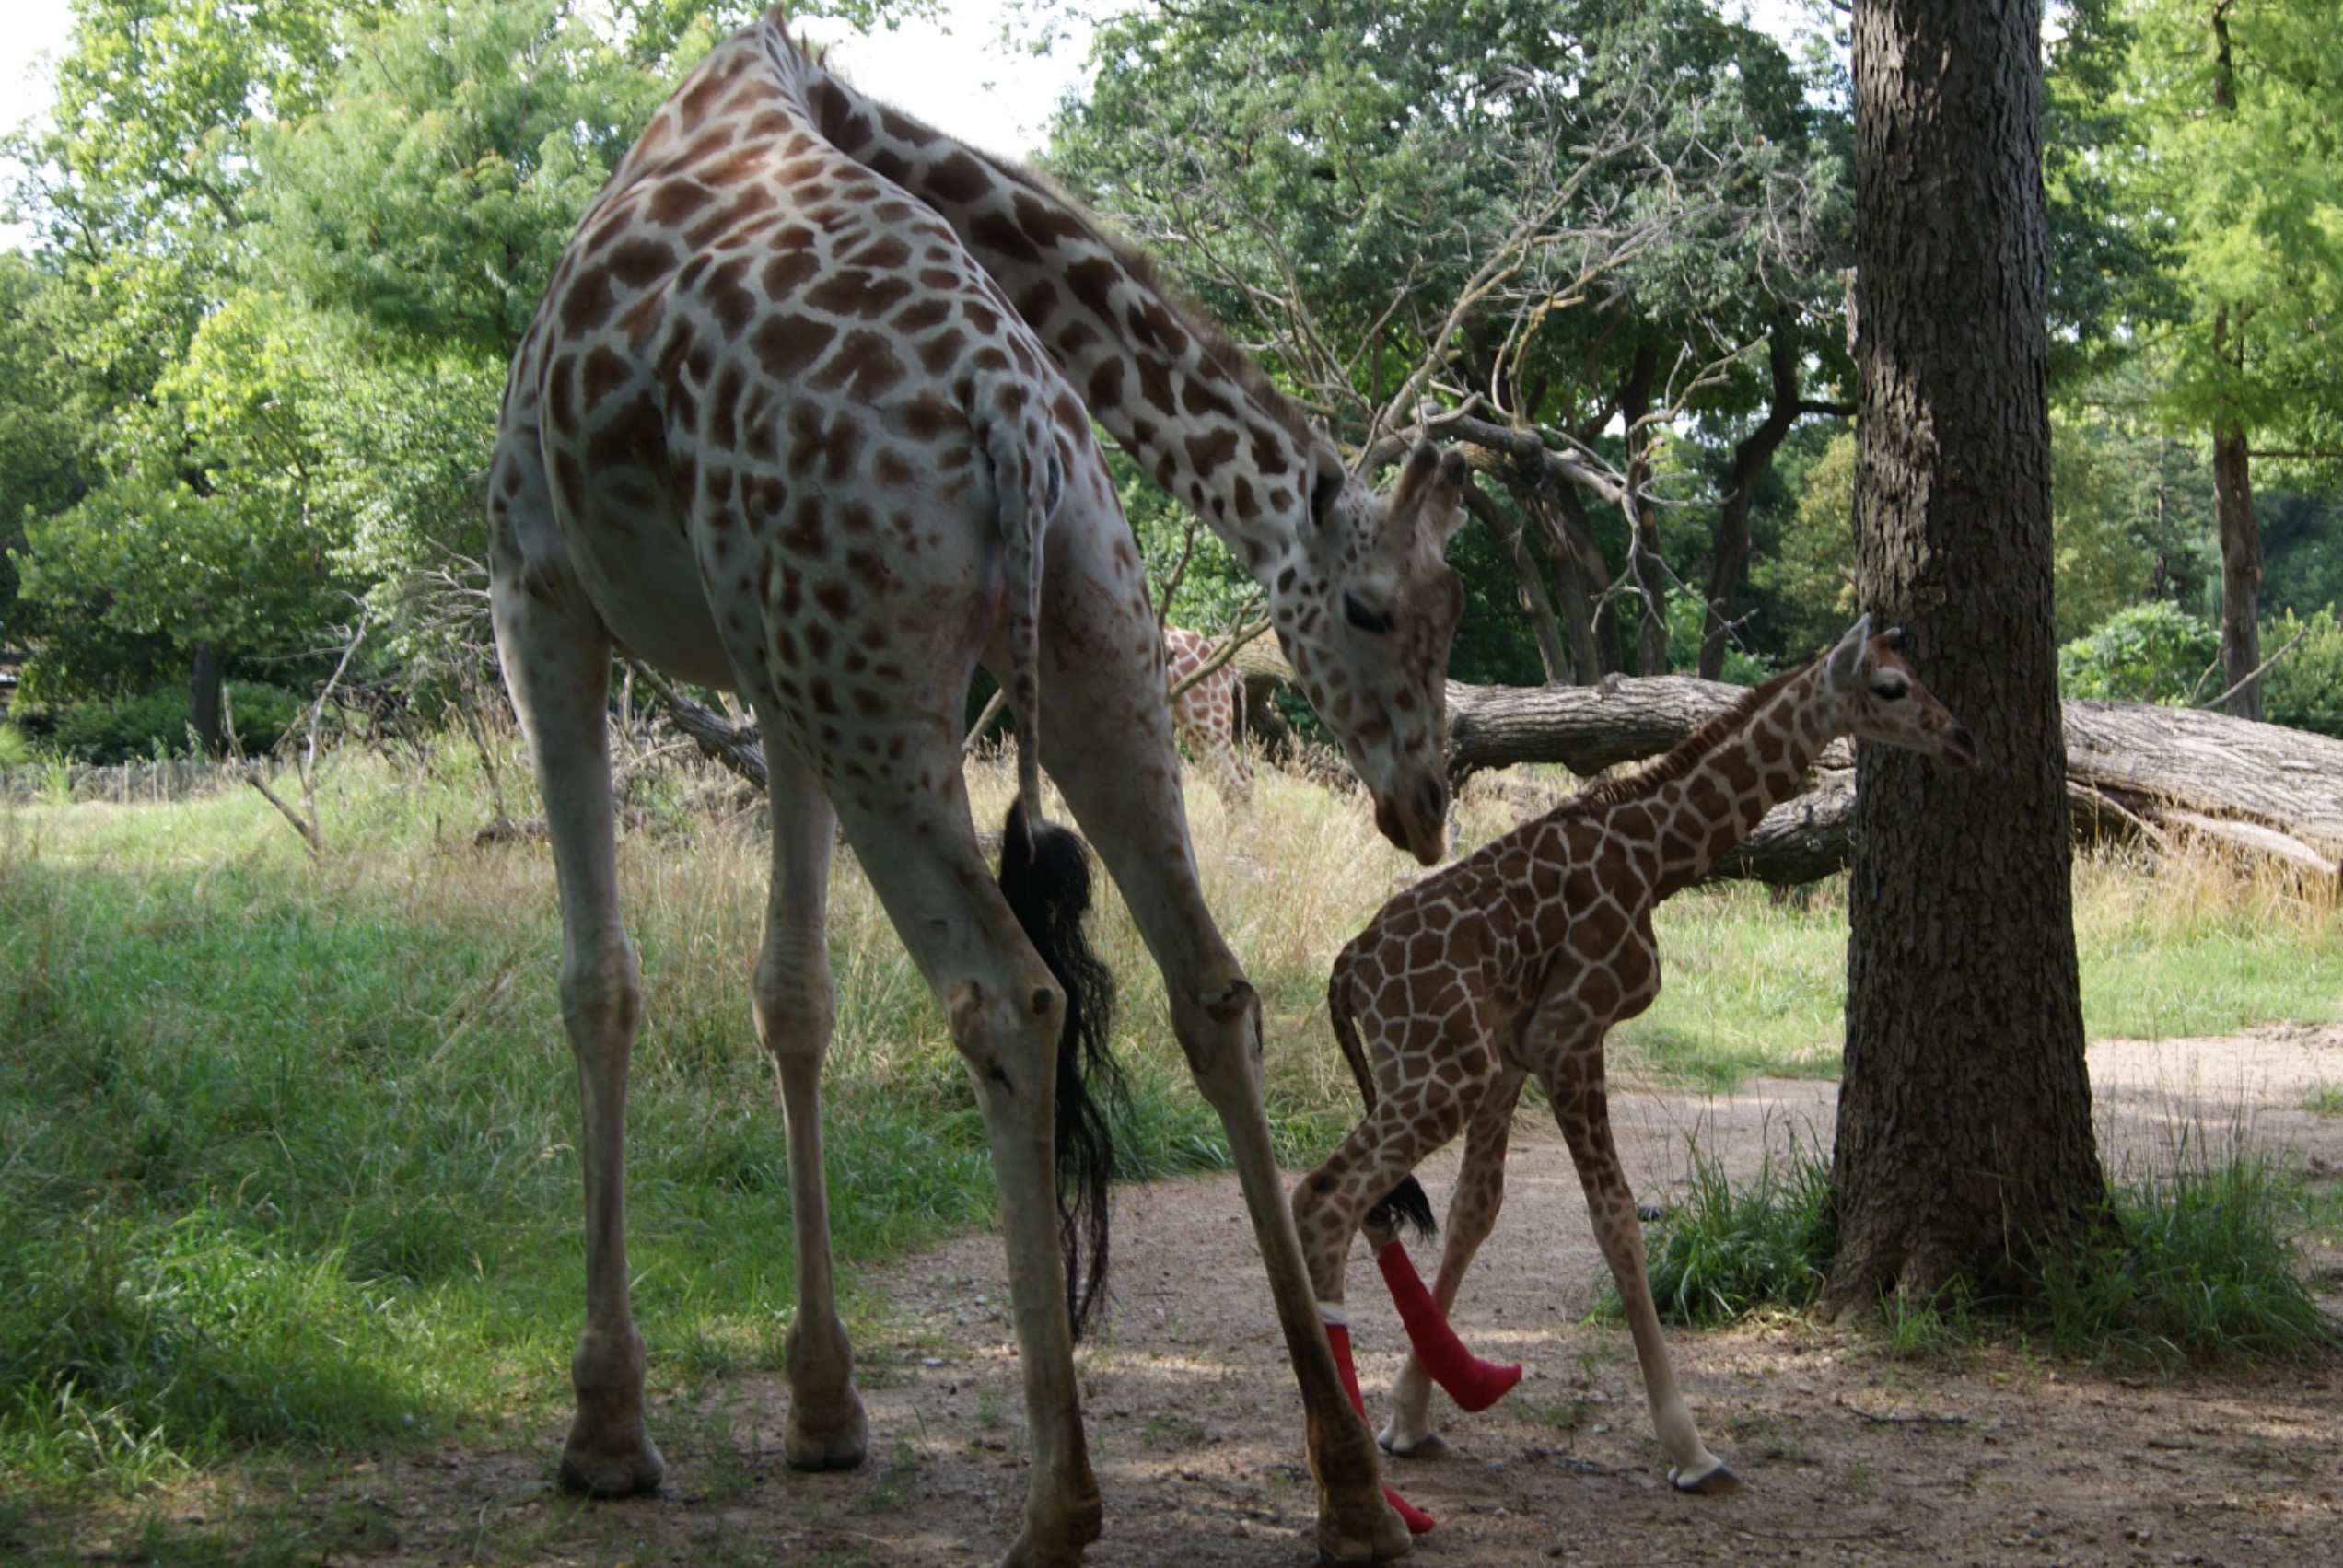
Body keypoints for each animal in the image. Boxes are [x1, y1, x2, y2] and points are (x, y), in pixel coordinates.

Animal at [489, 12, 1462, 1565]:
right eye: (1378, 608)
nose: (1426, 801)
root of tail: (1010, 404)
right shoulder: (770, 674)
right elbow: (793, 993)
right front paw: (823, 1406)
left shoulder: (537, 587)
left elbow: (600, 983)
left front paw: (607, 1427)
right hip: (1070, 633)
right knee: (1209, 985)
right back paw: (1352, 1490)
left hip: (871, 678)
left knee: (1010, 995)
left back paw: (1057, 1505)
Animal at [1293, 619, 1967, 1518]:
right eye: (1892, 688)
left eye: (1918, 675)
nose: (1960, 738)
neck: (1657, 859)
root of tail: (1346, 969)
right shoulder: (1570, 1031)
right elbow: (1616, 1221)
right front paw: (1692, 1450)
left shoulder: (1514, 1053)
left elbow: (1476, 1209)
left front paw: (1417, 1412)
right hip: (1438, 1073)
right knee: (1324, 1196)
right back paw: (1359, 1489)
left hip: (1427, 1069)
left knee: (1360, 1203)